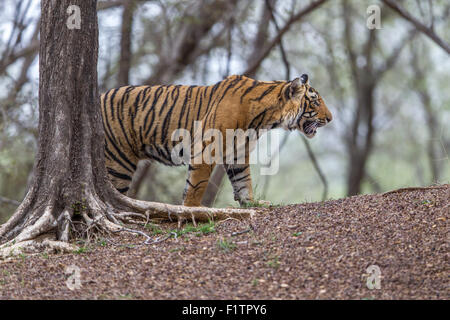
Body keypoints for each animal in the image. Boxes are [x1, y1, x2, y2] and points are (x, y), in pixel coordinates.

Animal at [103, 74, 334, 206]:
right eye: (315, 102)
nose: (331, 118)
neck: (265, 119)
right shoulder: (206, 148)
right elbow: (196, 185)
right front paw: (192, 210)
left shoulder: (238, 152)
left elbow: (243, 180)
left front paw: (252, 203)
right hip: (119, 162)